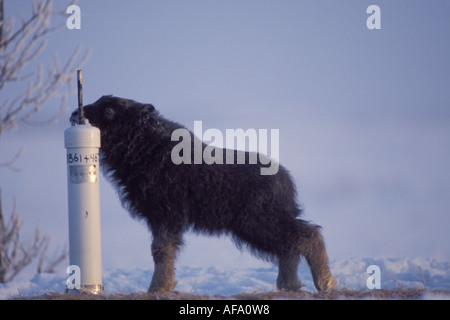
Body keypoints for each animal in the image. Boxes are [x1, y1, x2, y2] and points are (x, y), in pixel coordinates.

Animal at [70, 95, 336, 292]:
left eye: (109, 111)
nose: (75, 114)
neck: (146, 146)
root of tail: (286, 180)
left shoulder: (166, 215)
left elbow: (160, 250)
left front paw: (158, 288)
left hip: (259, 222)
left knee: (307, 235)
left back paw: (325, 283)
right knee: (291, 244)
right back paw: (289, 285)